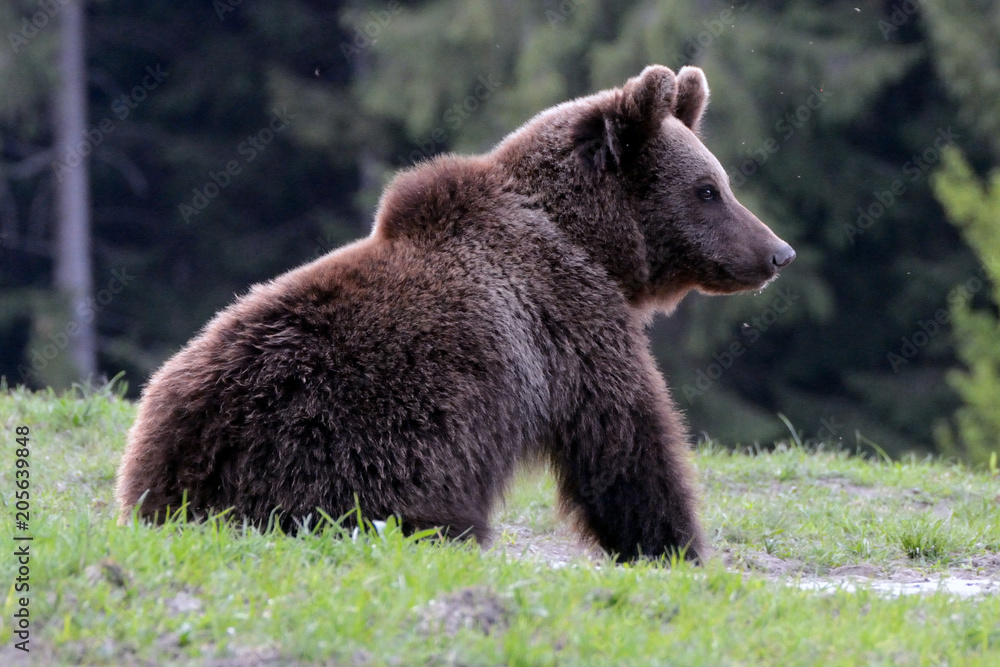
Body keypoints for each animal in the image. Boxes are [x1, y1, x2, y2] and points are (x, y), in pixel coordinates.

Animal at [115, 65, 794, 562]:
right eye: (709, 189)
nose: (777, 252)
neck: (590, 242)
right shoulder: (574, 325)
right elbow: (628, 440)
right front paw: (676, 546)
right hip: (359, 446)